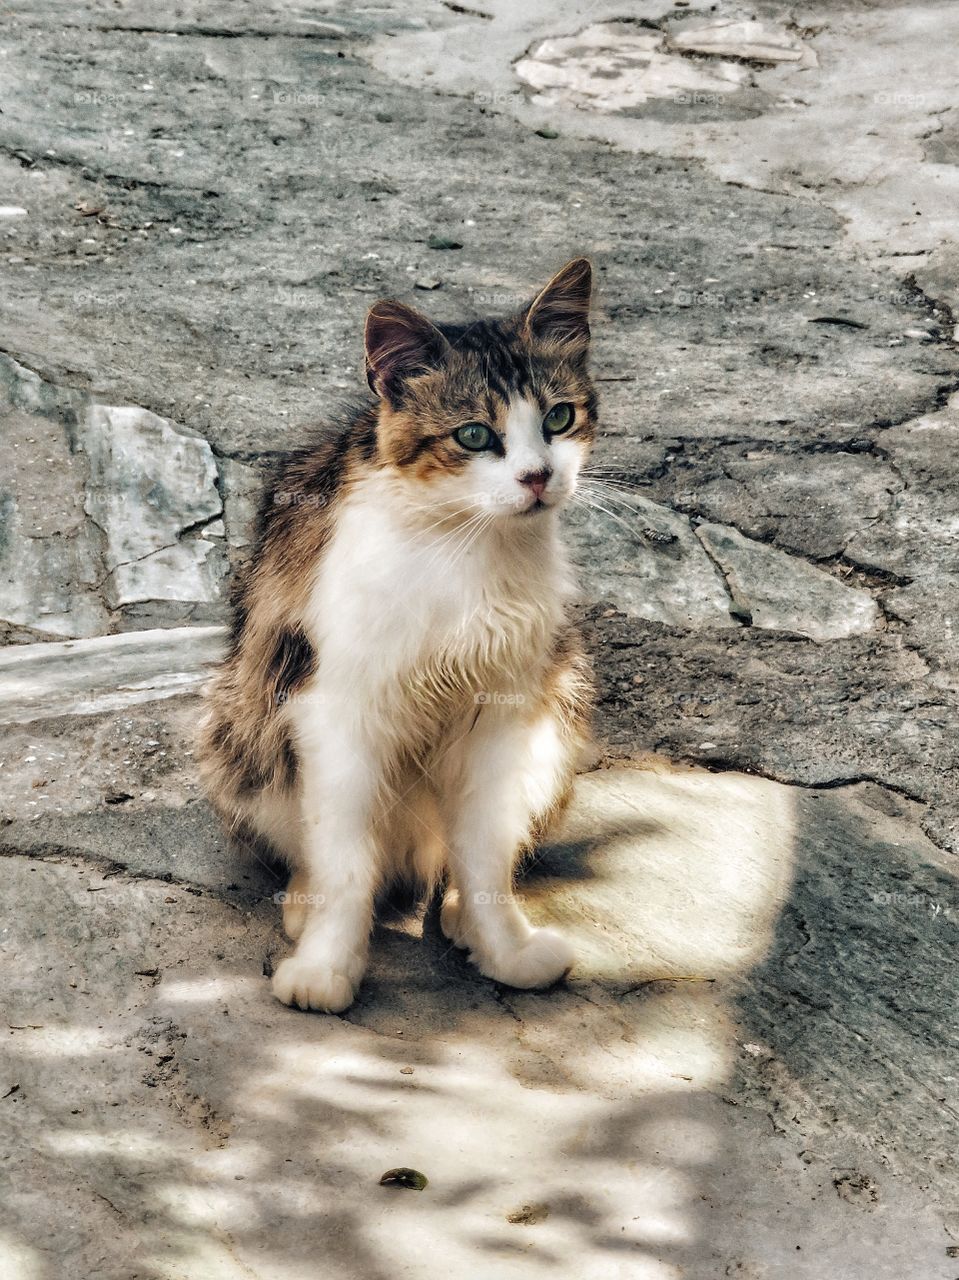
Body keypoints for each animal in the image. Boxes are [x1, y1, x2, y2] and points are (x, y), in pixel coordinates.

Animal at [198, 259, 594, 1013]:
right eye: (473, 435)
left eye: (559, 418)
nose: (538, 477)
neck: (466, 547)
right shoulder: (338, 710)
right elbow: (347, 860)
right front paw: (326, 967)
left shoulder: (502, 713)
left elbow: (484, 853)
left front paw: (504, 948)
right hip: (246, 725)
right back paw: (304, 904)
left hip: (554, 724)